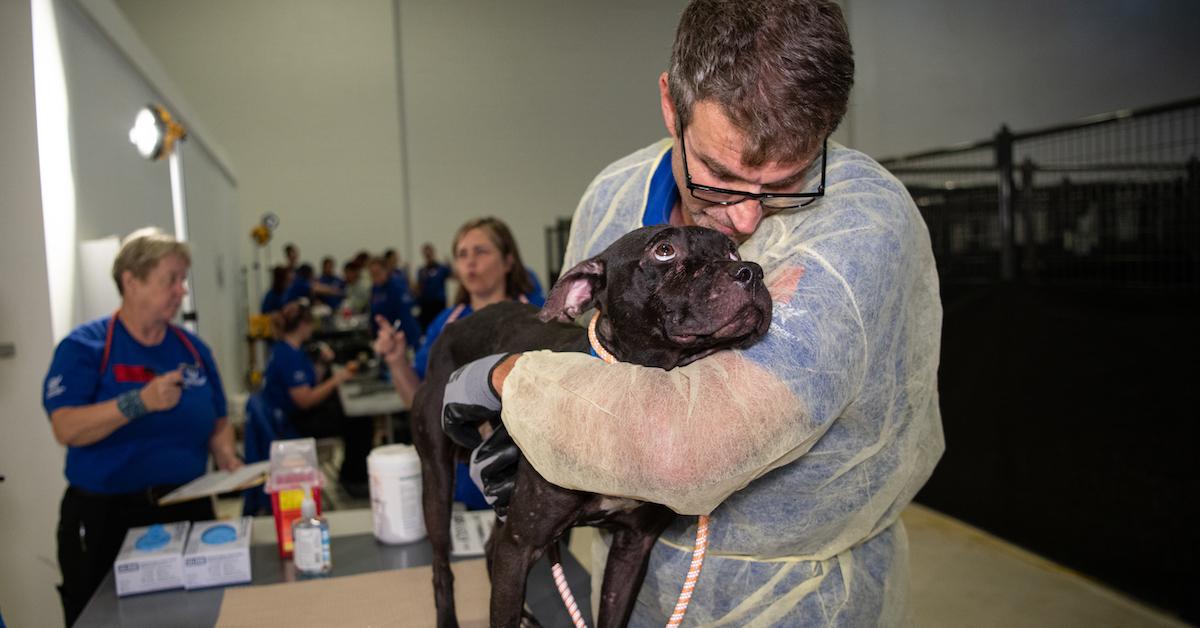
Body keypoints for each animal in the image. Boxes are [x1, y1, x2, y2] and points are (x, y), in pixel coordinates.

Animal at [412, 225, 768, 628]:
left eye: (733, 251)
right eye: (664, 250)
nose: (752, 272)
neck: (631, 396)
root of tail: (454, 325)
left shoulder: (633, 547)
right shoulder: (520, 546)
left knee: (489, 546)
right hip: (437, 481)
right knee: (441, 565)